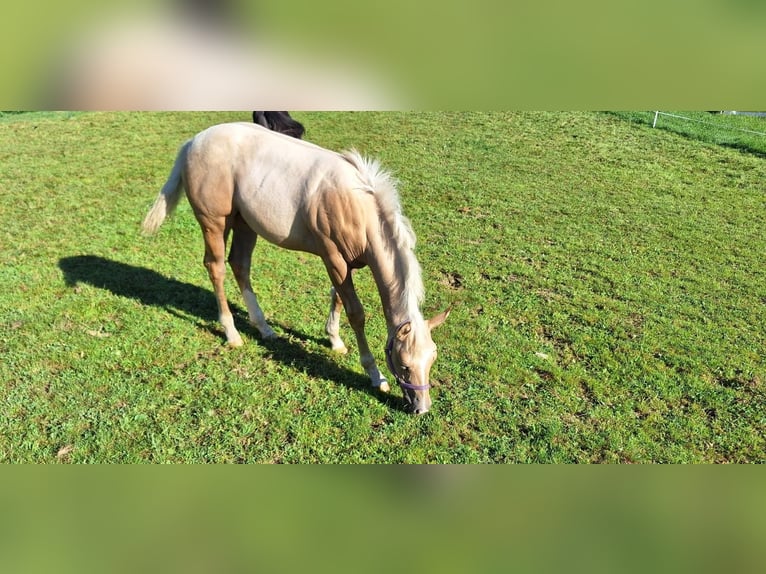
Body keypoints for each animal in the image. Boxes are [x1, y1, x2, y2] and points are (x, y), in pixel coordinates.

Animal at [142, 122, 448, 414]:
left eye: (432, 358)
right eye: (404, 364)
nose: (421, 408)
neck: (356, 204)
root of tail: (194, 142)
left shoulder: (346, 264)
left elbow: (337, 297)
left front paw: (334, 340)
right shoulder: (333, 258)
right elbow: (356, 313)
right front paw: (375, 375)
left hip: (244, 223)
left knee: (240, 265)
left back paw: (264, 328)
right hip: (214, 222)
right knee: (216, 267)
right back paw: (232, 333)